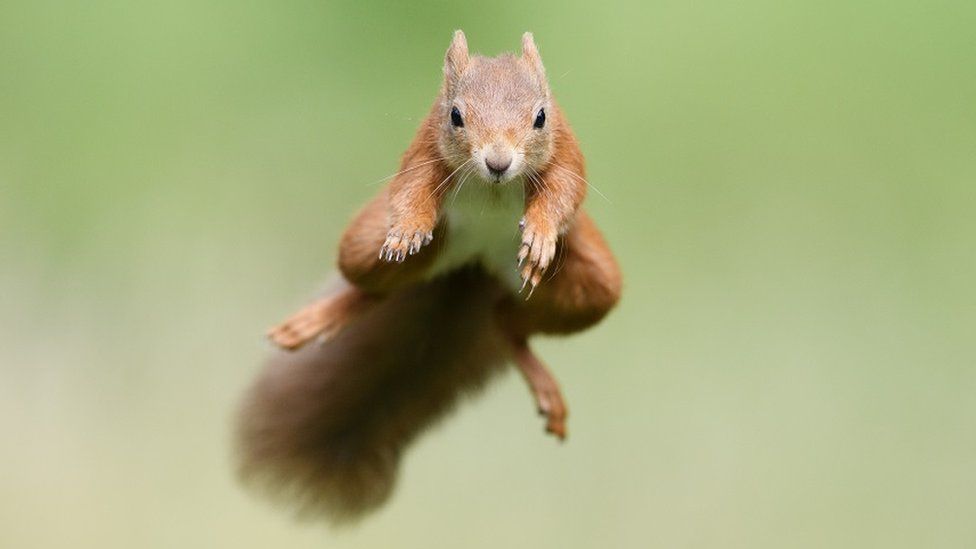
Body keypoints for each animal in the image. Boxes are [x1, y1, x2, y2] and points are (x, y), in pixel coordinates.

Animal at [236, 30, 622, 522]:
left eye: (541, 117)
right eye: (455, 114)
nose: (498, 162)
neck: (492, 189)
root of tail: (475, 263)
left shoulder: (566, 147)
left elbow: (565, 188)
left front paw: (540, 232)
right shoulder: (424, 146)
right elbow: (411, 187)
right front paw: (409, 227)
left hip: (595, 286)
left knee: (508, 322)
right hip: (365, 247)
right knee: (376, 286)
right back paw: (324, 316)